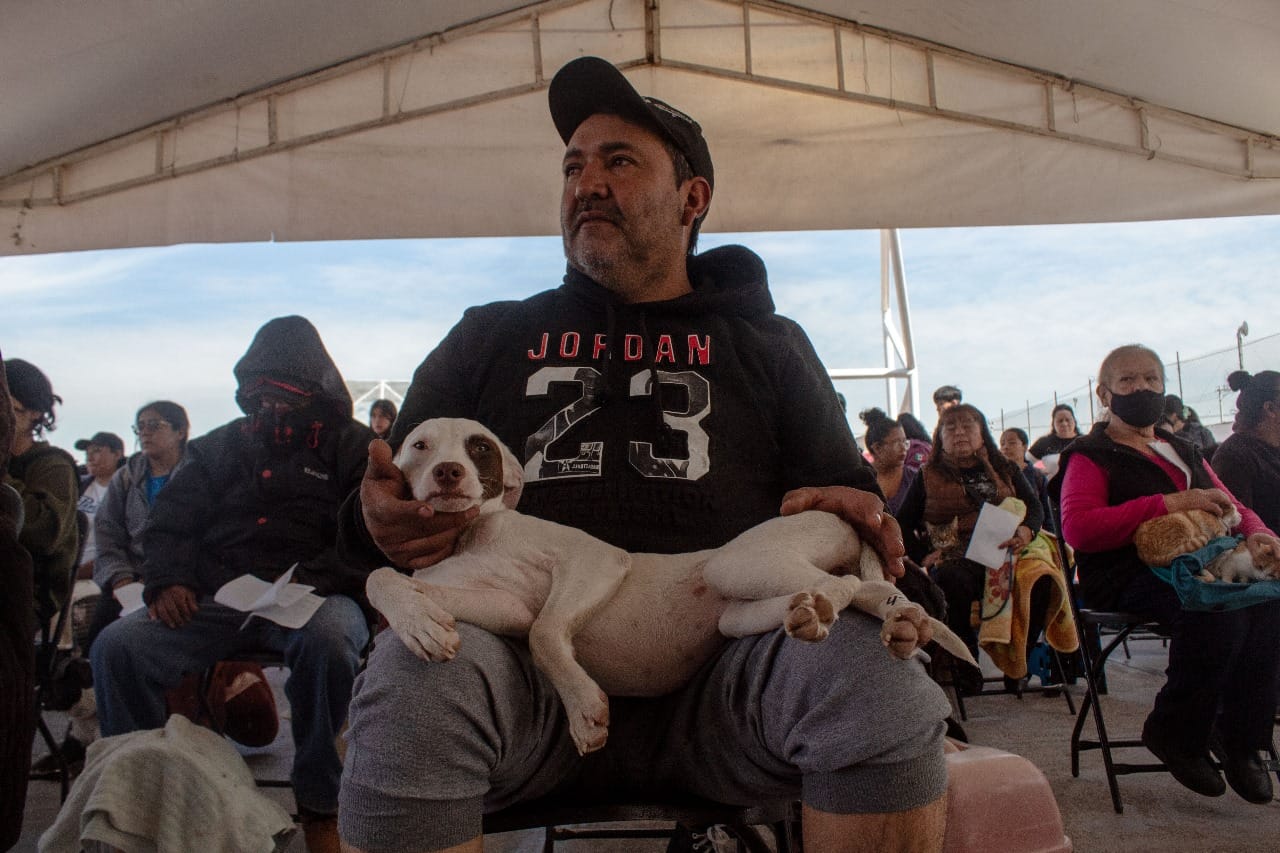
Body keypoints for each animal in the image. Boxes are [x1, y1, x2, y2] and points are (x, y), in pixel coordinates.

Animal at [368, 417, 967, 753]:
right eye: (419, 446)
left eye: (479, 448)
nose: (447, 472)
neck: (475, 535)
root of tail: (840, 515)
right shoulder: (503, 605)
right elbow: (384, 576)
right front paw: (421, 625)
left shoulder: (594, 561)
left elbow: (544, 634)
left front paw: (583, 710)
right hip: (738, 610)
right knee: (853, 593)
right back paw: (881, 619)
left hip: (738, 562)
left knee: (842, 586)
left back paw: (877, 615)